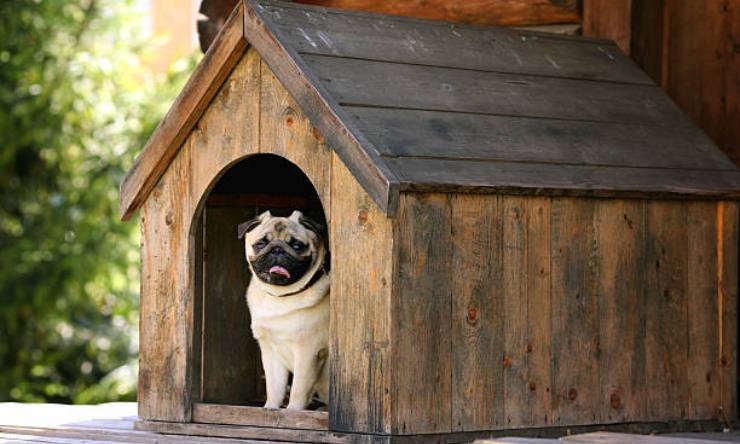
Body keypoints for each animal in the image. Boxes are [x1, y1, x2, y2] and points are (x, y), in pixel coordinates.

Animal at [237, 210, 330, 412]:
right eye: (261, 244)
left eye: (296, 245)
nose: (277, 249)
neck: (280, 296)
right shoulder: (270, 353)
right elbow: (274, 387)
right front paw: (270, 408)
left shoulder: (307, 353)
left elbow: (298, 390)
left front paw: (293, 412)